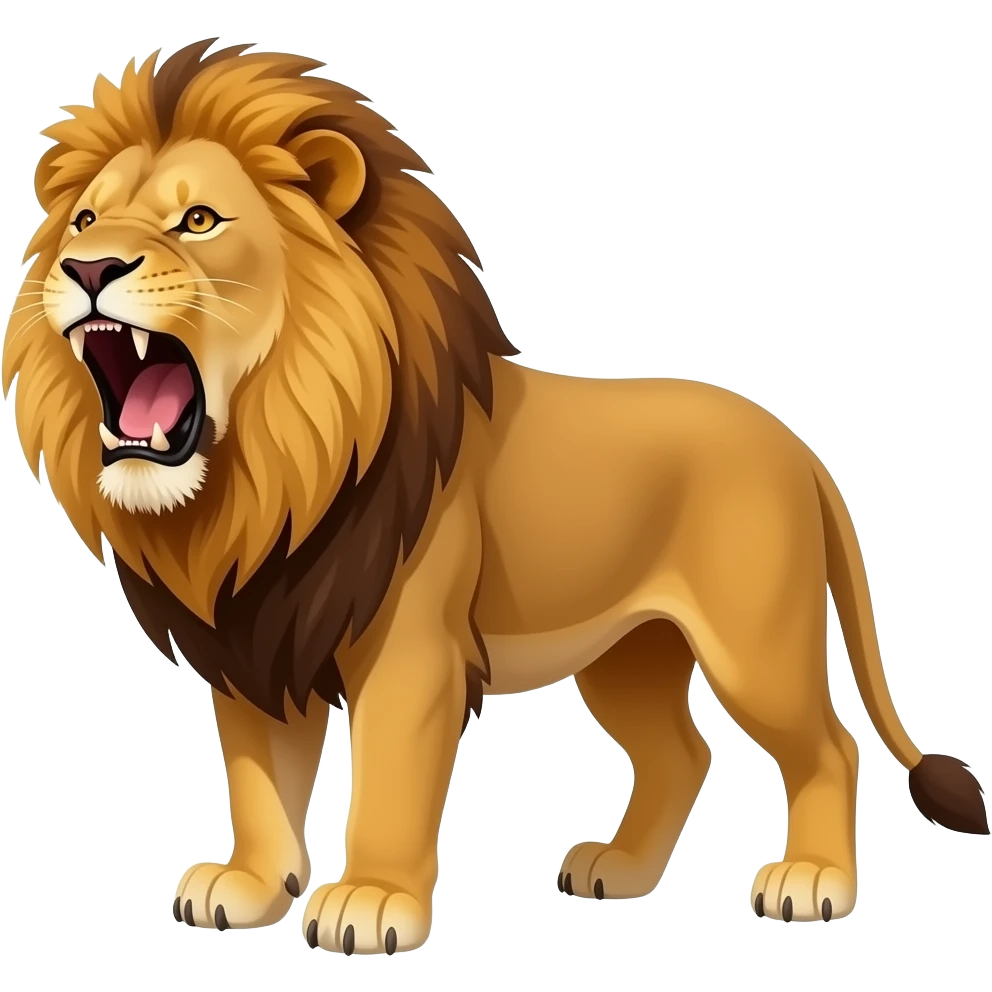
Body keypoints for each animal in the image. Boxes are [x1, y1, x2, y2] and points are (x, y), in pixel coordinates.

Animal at [2, 39, 987, 954]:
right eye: (84, 217)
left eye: (199, 219)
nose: (88, 267)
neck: (271, 474)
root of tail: (800, 449)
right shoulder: (254, 635)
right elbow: (256, 777)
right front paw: (248, 887)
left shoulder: (411, 651)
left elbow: (389, 780)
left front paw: (372, 902)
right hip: (627, 652)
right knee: (683, 753)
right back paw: (620, 871)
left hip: (756, 643)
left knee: (827, 746)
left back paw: (814, 882)